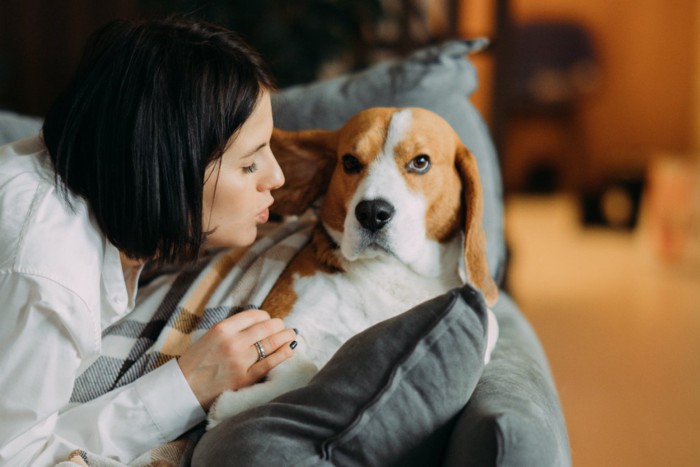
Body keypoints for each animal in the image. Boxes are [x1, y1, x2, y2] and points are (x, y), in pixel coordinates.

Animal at [208, 107, 498, 428]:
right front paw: (228, 407)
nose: (371, 212)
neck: (392, 275)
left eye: (420, 162)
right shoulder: (284, 322)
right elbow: (307, 369)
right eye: (349, 162)